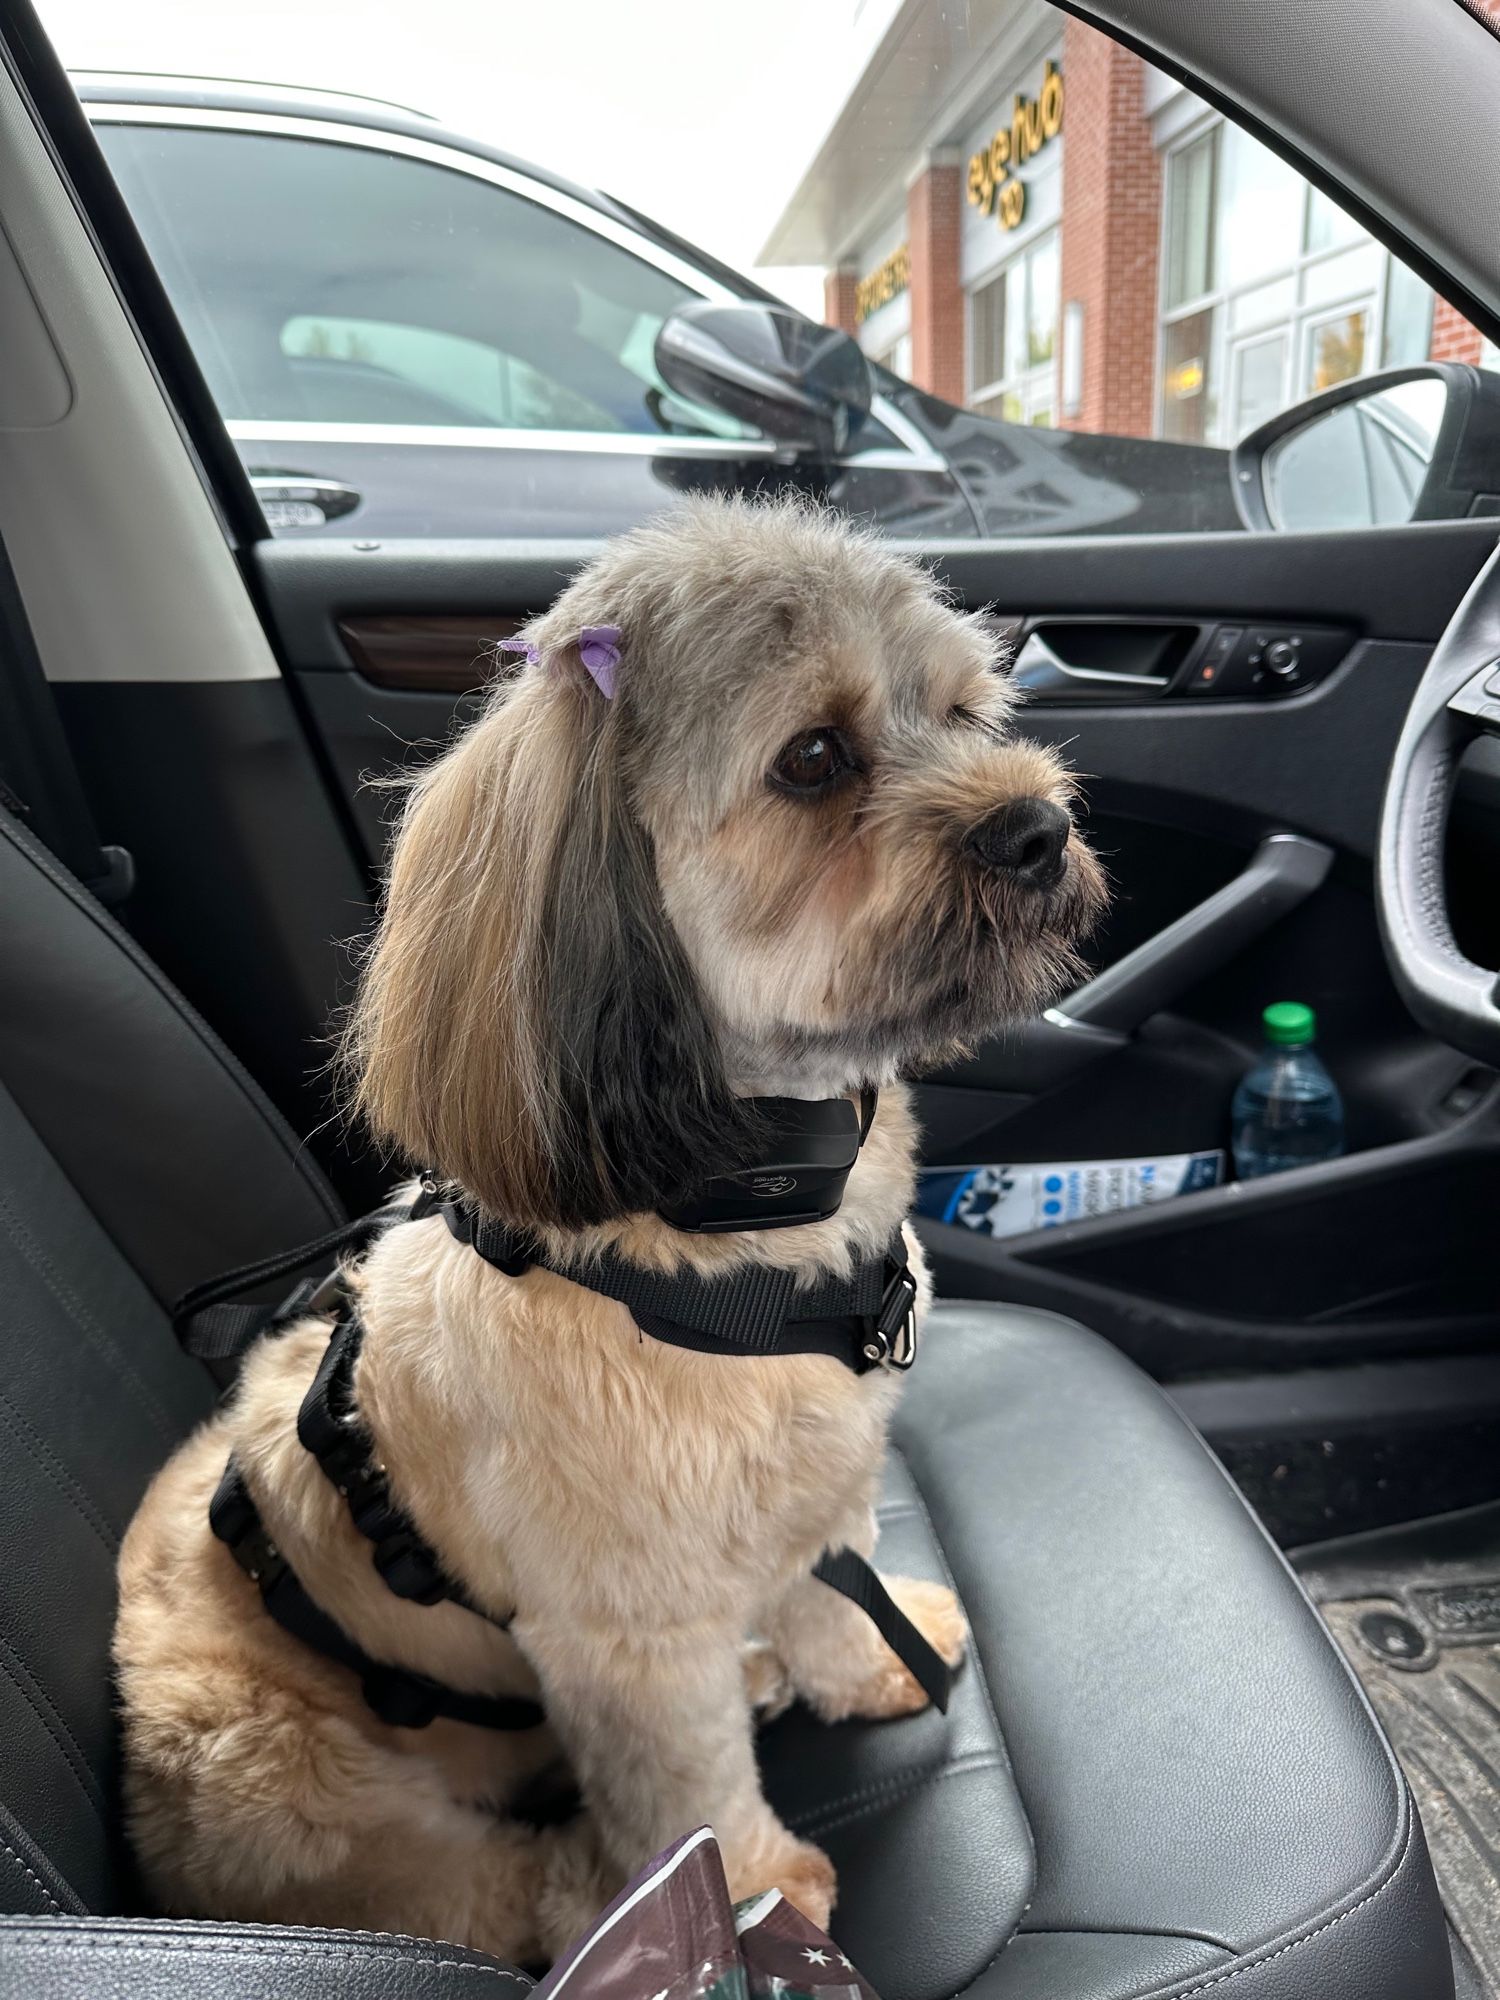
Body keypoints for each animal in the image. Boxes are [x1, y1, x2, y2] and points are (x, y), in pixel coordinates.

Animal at [114, 492, 1104, 1960]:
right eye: (814, 758)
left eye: (969, 711)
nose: (1037, 825)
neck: (739, 1253)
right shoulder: (622, 1638)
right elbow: (682, 1775)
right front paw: (755, 1882)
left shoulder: (813, 1492)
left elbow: (830, 1586)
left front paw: (863, 1660)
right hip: (285, 1782)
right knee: (490, 1887)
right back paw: (609, 1887)